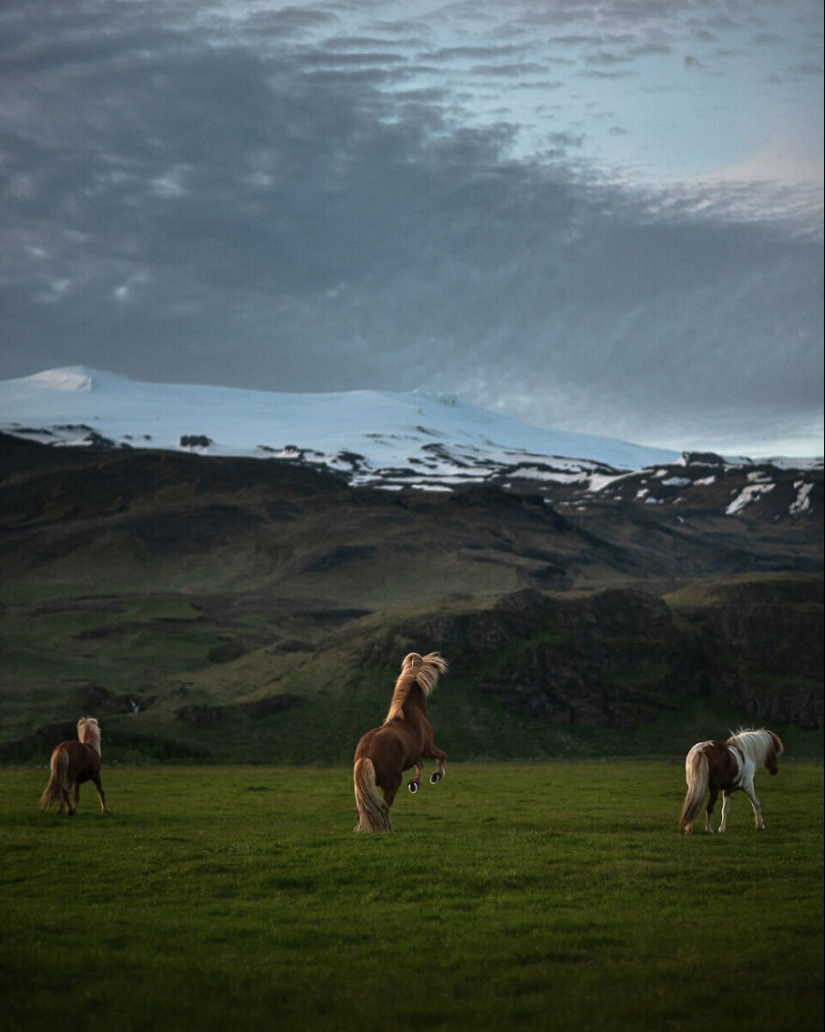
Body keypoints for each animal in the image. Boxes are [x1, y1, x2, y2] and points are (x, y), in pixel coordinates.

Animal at [353, 652, 448, 832]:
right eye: (432, 665)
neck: (410, 714)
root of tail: (367, 755)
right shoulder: (428, 749)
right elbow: (442, 755)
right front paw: (436, 776)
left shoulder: (414, 755)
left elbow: (419, 765)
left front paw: (414, 784)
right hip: (392, 783)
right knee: (383, 809)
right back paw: (386, 830)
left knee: (363, 809)